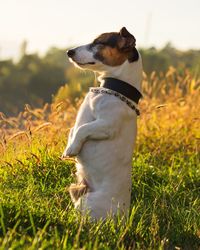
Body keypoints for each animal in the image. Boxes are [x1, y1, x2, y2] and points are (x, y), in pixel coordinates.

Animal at [62, 26, 142, 220]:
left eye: (98, 43)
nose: (69, 52)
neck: (110, 89)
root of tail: (122, 219)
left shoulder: (106, 126)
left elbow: (82, 129)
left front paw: (71, 149)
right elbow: (72, 130)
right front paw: (69, 145)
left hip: (87, 202)